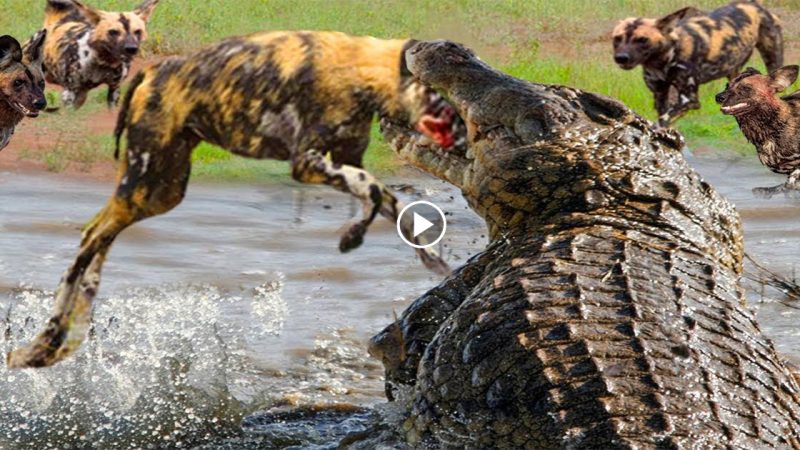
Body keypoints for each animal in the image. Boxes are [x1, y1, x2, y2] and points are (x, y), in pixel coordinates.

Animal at [6, 29, 460, 368]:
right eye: (437, 96)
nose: (460, 127)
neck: (359, 70)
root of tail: (147, 74)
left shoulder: (346, 161)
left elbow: (389, 202)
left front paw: (428, 258)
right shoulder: (308, 163)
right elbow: (373, 189)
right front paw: (358, 236)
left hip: (160, 192)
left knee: (98, 236)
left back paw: (59, 339)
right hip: (145, 186)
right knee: (90, 240)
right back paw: (48, 340)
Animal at [612, 0, 780, 126]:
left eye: (642, 40)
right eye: (617, 38)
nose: (621, 58)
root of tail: (752, 3)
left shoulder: (689, 100)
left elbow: (661, 122)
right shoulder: (660, 96)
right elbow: (663, 121)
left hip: (772, 59)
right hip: (734, 73)